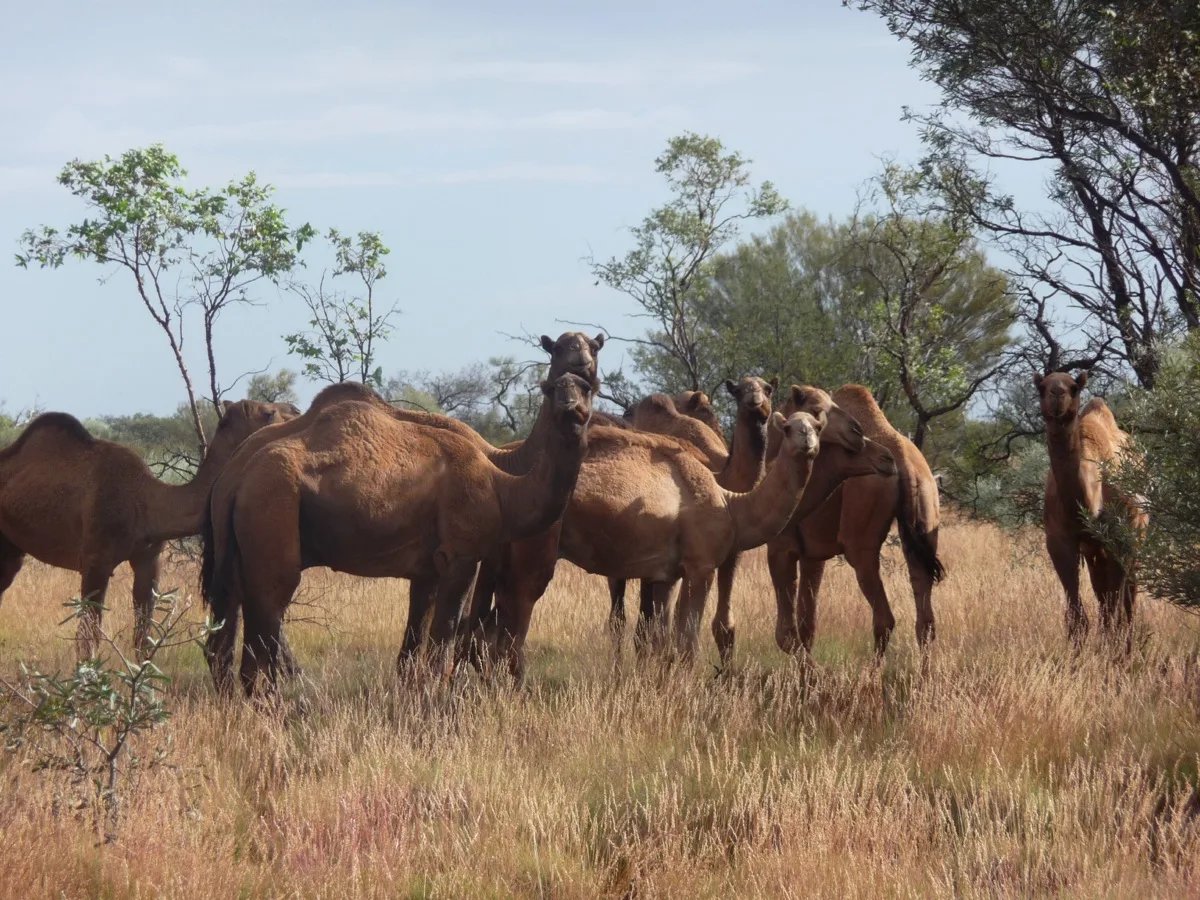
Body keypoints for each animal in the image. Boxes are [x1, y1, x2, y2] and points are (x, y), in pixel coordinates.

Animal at [0, 399, 298, 658]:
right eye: (268, 412)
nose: (296, 409)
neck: (146, 501)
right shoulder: (95, 562)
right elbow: (88, 639)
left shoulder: (149, 558)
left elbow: (143, 637)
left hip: (12, 550)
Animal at [201, 331, 608, 686]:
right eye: (553, 383)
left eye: (588, 382)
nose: (572, 407)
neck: (502, 481)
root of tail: (233, 480)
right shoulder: (462, 555)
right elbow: (442, 646)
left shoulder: (428, 567)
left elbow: (412, 654)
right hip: (272, 512)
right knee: (263, 635)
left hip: (236, 548)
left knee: (229, 640)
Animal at [471, 405, 897, 679]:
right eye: (793, 427)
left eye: (816, 428)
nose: (888, 458)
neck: (731, 504)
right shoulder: (700, 566)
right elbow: (688, 644)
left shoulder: (666, 574)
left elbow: (662, 642)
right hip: (534, 552)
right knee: (511, 630)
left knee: (487, 629)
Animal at [767, 384, 944, 659]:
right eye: (816, 410)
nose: (856, 433)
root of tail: (903, 461)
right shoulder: (813, 555)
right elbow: (808, 625)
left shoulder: (781, 548)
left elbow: (786, 634)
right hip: (924, 524)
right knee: (925, 621)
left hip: (859, 546)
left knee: (885, 619)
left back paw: (869, 673)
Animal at [1035, 370, 1145, 644]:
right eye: (1041, 387)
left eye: (1074, 387)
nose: (1057, 394)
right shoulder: (1059, 542)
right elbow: (1077, 618)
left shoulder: (1119, 540)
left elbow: (1115, 610)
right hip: (1094, 551)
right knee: (1103, 595)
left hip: (1136, 538)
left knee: (1128, 598)